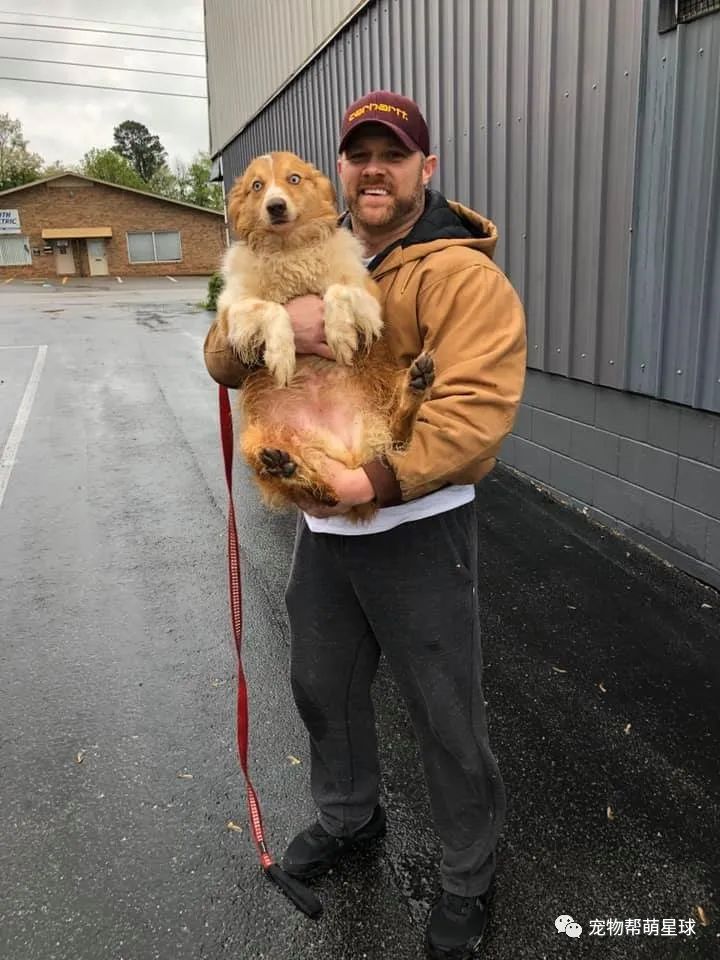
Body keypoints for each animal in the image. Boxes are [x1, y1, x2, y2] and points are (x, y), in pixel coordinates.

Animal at [218, 153, 434, 520]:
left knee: (398, 437)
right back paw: (292, 471)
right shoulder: (231, 311)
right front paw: (281, 354)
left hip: (383, 395)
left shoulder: (367, 296)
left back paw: (415, 386)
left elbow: (336, 290)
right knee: (310, 485)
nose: (276, 206)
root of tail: (347, 450)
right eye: (257, 186)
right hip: (256, 440)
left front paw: (340, 335)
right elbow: (273, 309)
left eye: (293, 179)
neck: (289, 249)